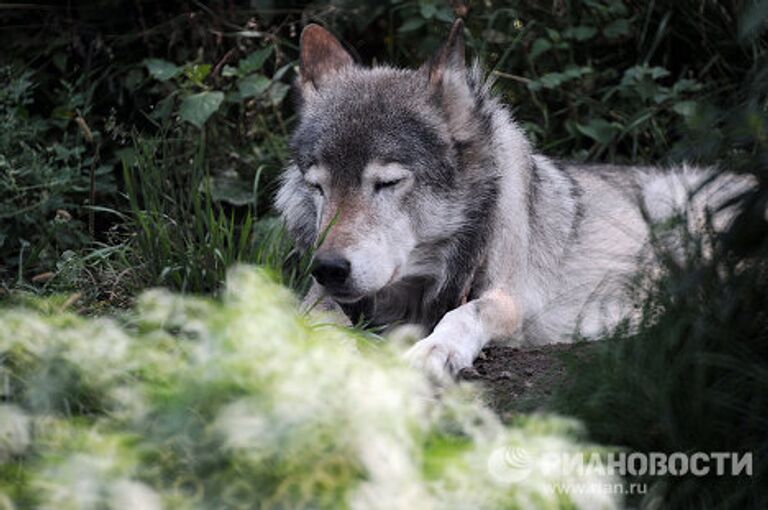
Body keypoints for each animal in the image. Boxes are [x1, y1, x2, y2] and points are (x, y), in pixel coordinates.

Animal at [276, 19, 752, 380]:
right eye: (318, 186)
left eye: (388, 183)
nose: (329, 267)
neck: (420, 283)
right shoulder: (321, 295)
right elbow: (314, 317)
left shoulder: (507, 297)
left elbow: (464, 314)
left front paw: (435, 350)